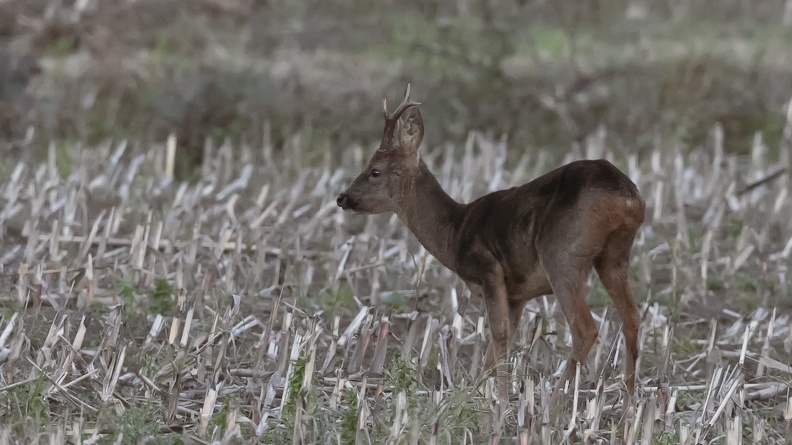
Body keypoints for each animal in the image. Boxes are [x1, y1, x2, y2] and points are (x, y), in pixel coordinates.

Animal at [334, 83, 644, 410]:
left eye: (375, 170)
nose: (342, 197)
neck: (454, 231)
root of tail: (625, 194)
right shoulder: (517, 294)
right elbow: (494, 351)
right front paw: (475, 395)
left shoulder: (488, 268)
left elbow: (500, 335)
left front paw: (503, 403)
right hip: (615, 255)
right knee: (632, 318)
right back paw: (628, 402)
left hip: (562, 254)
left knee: (584, 328)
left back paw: (553, 405)